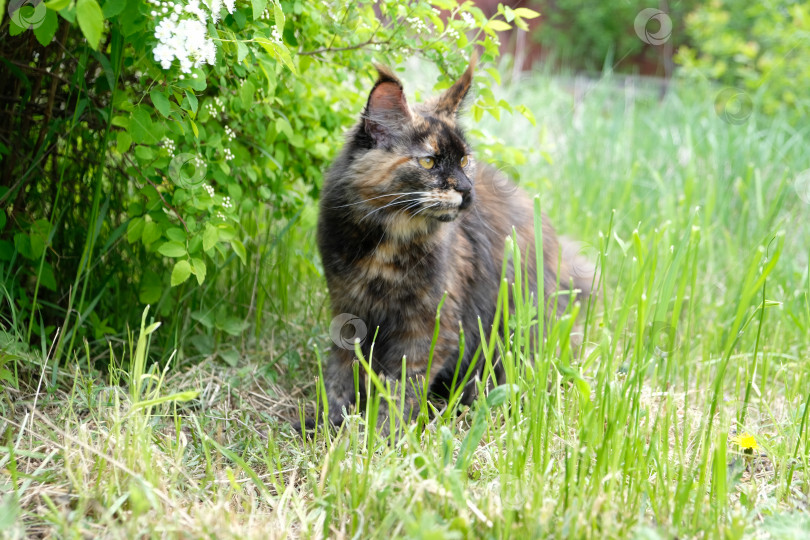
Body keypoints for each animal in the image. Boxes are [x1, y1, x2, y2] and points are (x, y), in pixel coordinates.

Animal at [310, 57, 588, 432]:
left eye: (465, 160)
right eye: (429, 161)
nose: (467, 189)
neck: (387, 246)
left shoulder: (429, 328)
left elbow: (401, 391)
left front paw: (384, 437)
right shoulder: (348, 309)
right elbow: (339, 375)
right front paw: (323, 425)